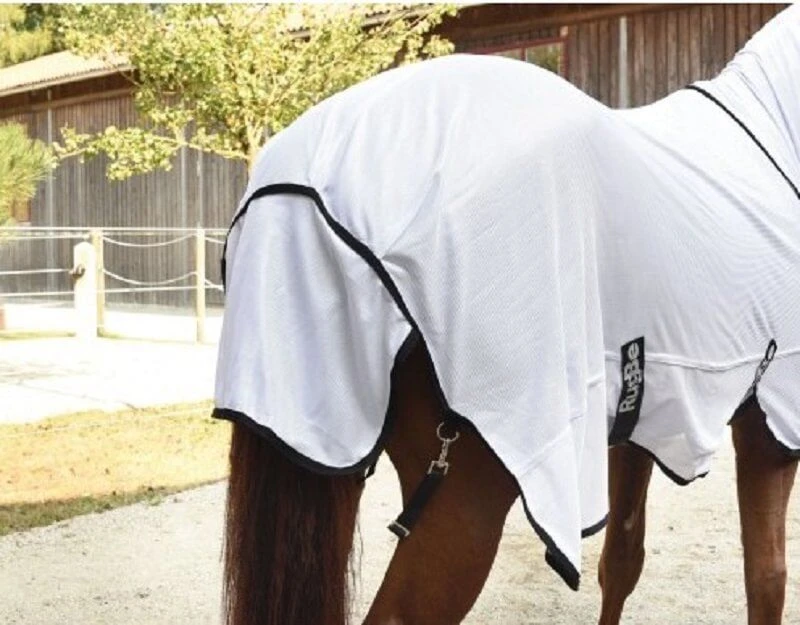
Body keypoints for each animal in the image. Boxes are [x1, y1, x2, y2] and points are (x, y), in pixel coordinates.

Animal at [214, 6, 800, 624]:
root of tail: (306, 188)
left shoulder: (645, 415)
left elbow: (622, 559)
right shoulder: (772, 422)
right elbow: (767, 579)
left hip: (328, 445)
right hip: (464, 495)